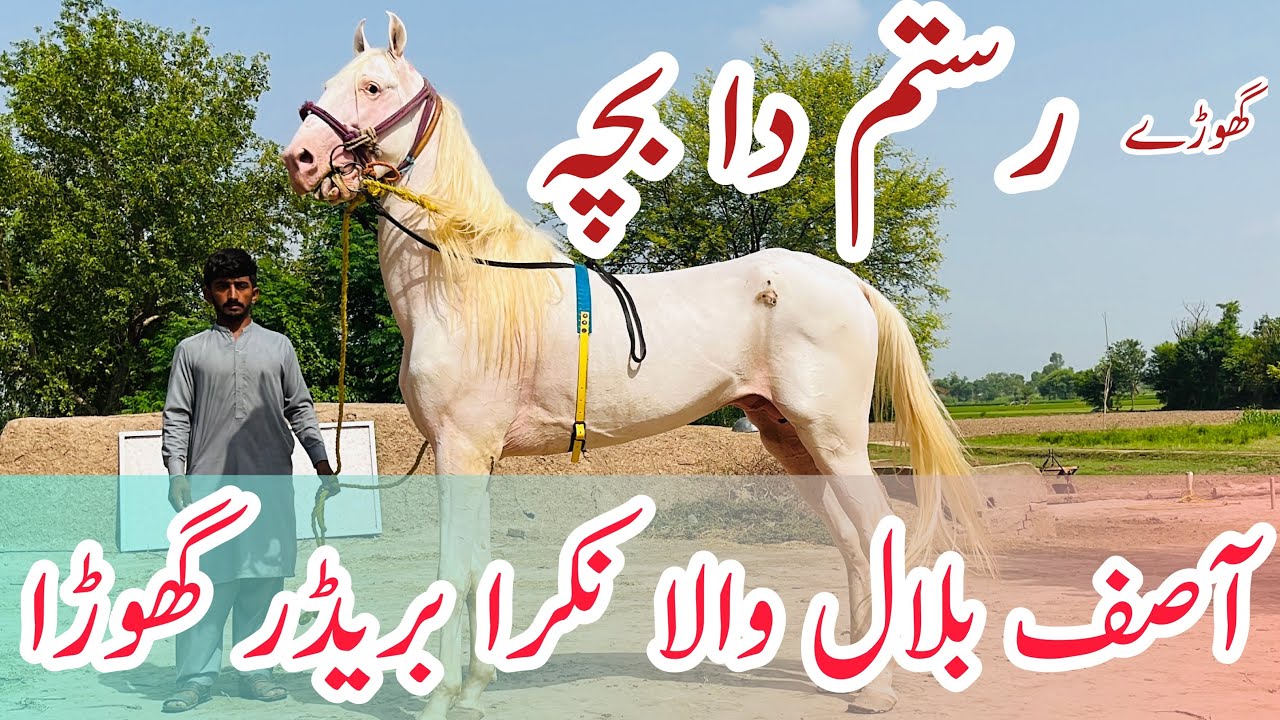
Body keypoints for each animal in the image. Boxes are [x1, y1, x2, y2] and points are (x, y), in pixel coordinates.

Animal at [282, 12, 991, 718]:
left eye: (373, 86)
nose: (301, 159)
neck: (464, 282)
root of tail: (849, 283)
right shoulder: (477, 457)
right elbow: (479, 566)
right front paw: (477, 688)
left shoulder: (461, 448)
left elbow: (452, 569)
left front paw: (441, 698)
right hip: (791, 441)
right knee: (849, 540)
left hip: (836, 440)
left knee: (874, 532)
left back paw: (876, 690)